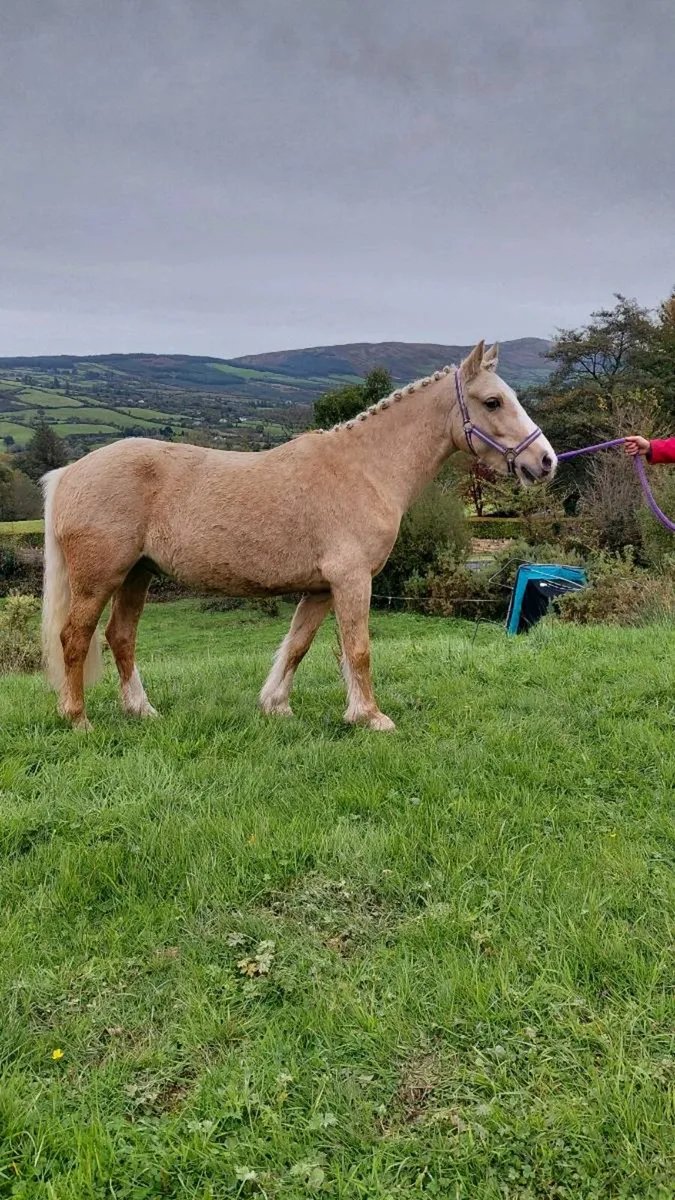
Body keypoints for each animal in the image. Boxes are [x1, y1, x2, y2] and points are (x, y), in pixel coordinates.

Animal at [41, 340, 556, 731]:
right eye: (493, 402)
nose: (546, 461)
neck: (364, 469)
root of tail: (69, 473)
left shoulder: (321, 588)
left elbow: (298, 645)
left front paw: (277, 706)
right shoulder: (351, 580)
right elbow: (358, 649)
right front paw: (371, 717)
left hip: (138, 575)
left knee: (121, 637)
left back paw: (142, 711)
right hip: (101, 579)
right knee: (75, 637)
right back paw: (79, 720)